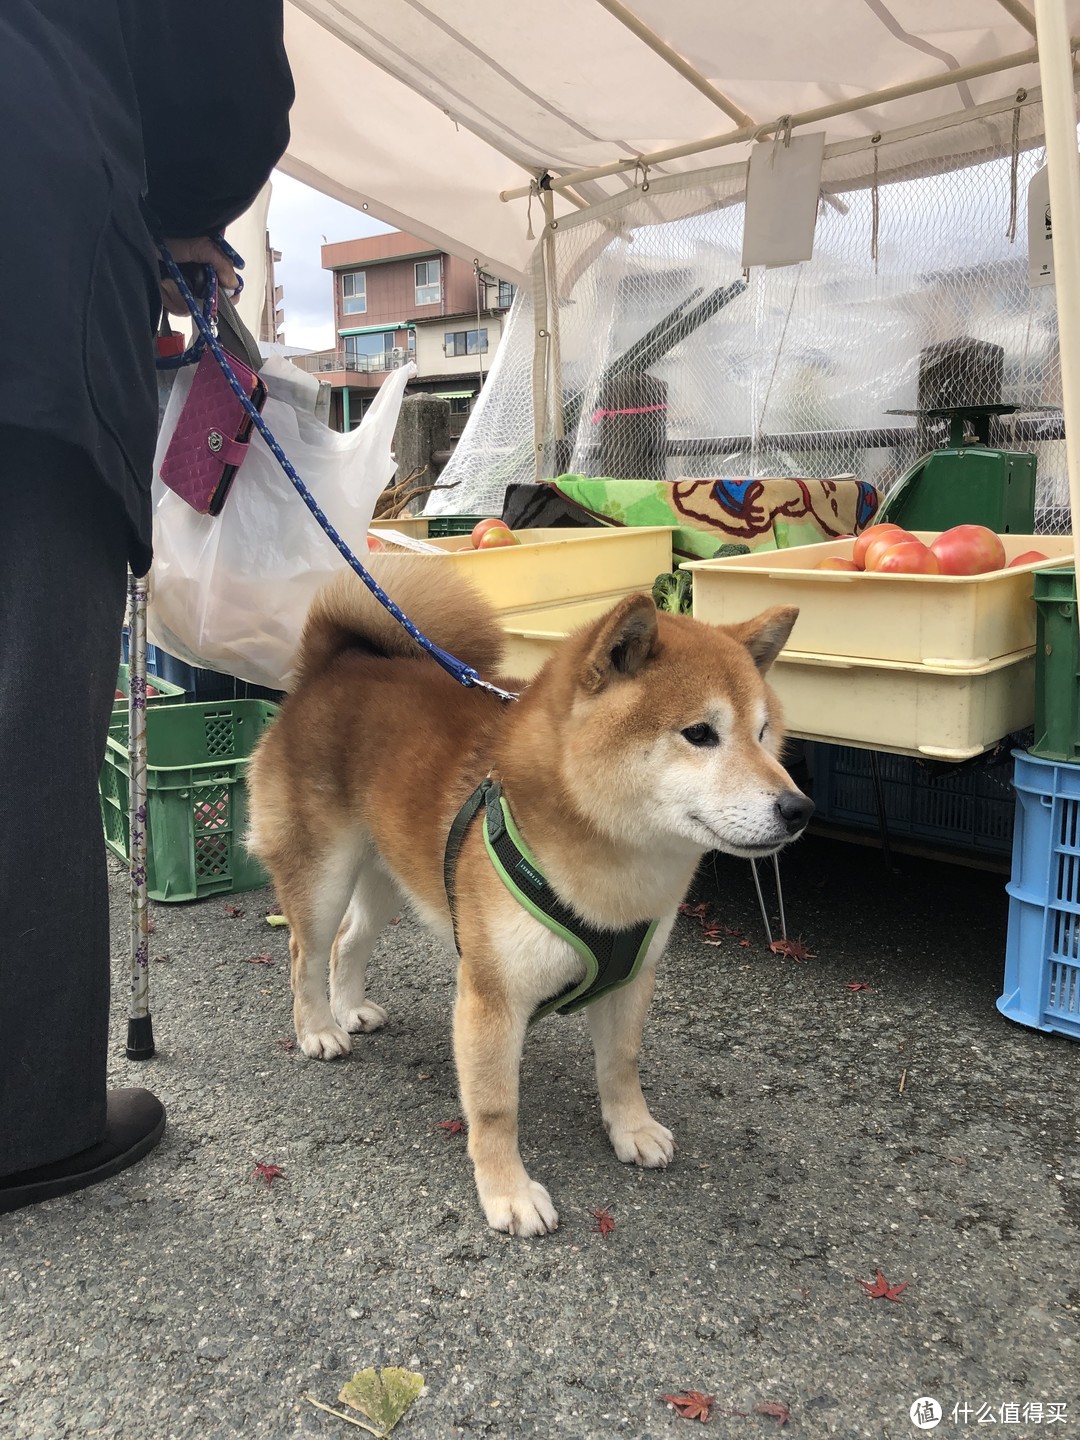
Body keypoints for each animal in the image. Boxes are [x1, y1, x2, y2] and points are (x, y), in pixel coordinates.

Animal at [249, 555, 812, 1232]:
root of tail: (336, 663)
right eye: (700, 734)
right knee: (306, 953)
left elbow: (621, 1064)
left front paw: (632, 1129)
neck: (613, 876)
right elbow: (496, 1108)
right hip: (325, 873)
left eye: (763, 733)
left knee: (347, 943)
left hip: (389, 872)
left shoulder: (632, 978)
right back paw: (318, 1030)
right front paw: (508, 1193)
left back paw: (350, 1008)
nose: (799, 809)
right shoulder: (493, 995)